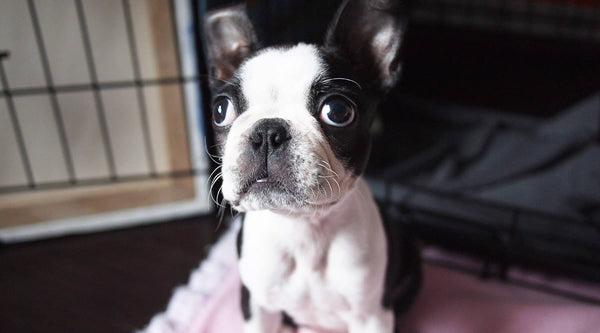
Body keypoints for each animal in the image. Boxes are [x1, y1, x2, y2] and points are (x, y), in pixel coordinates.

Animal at [204, 1, 420, 330]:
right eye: (220, 110)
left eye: (338, 111)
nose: (267, 132)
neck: (302, 229)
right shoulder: (256, 304)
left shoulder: (372, 315)